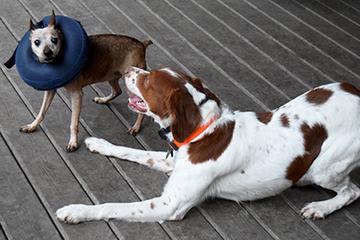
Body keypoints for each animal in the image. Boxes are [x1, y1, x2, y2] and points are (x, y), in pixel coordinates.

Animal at [20, 11, 152, 152]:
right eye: (36, 42)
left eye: (54, 40)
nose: (47, 52)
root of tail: (141, 44)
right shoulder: (50, 91)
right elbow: (41, 112)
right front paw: (32, 126)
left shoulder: (76, 95)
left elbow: (73, 122)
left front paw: (73, 142)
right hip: (111, 76)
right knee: (117, 91)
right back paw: (103, 100)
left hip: (131, 86)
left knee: (140, 104)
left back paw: (136, 127)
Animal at [55, 66, 360, 223]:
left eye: (148, 78)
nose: (127, 68)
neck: (202, 131)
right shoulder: (172, 160)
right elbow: (133, 151)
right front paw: (99, 144)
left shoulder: (170, 204)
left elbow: (112, 206)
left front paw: (76, 211)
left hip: (325, 168)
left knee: (351, 191)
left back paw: (321, 208)